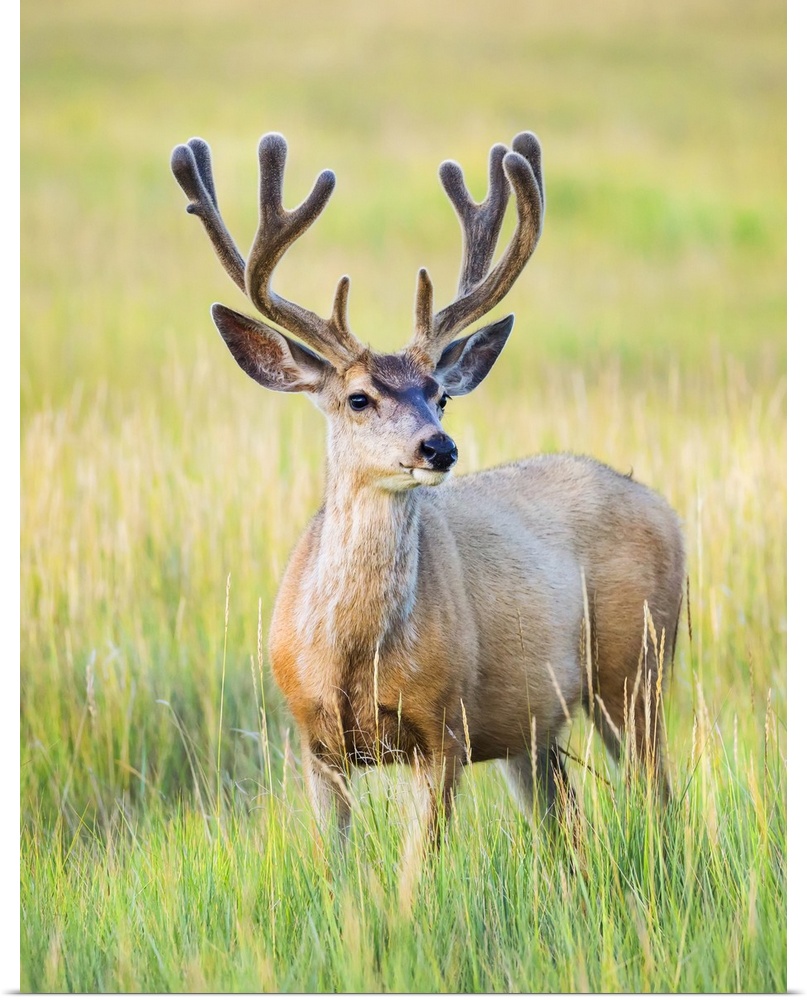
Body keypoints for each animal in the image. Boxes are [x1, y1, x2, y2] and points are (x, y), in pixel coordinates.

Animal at [172, 131, 688, 868]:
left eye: (439, 394)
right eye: (359, 397)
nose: (437, 448)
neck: (352, 655)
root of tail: (662, 508)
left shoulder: (443, 729)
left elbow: (416, 874)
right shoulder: (313, 742)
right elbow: (333, 869)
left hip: (635, 668)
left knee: (658, 798)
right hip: (535, 726)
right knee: (568, 822)